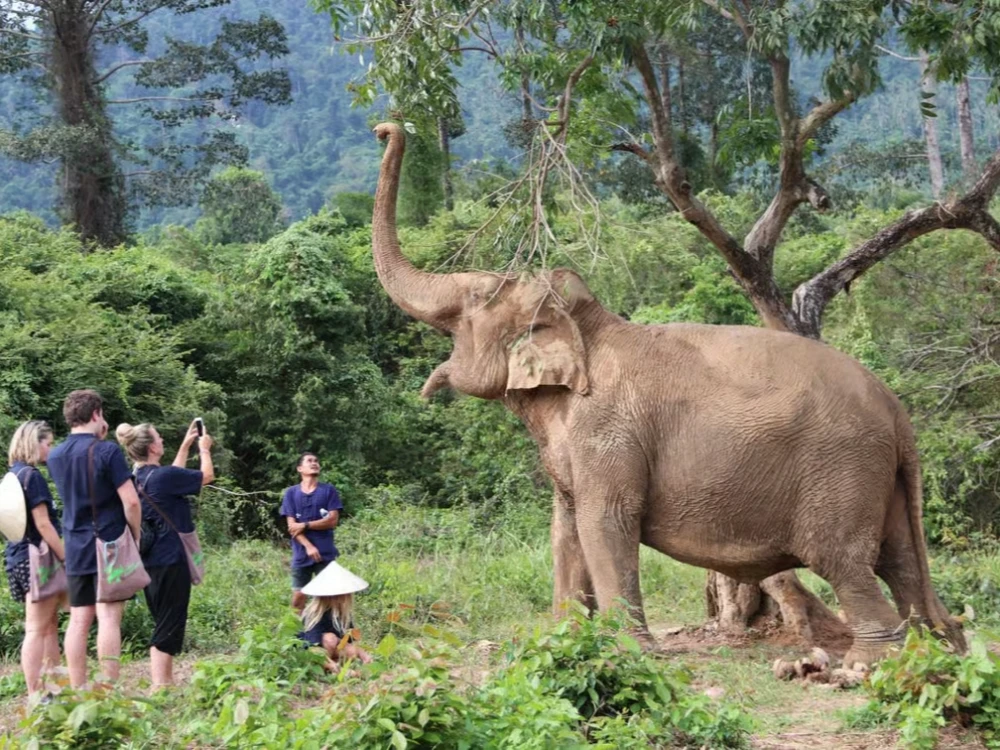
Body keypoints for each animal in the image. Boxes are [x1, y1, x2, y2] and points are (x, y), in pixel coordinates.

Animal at [369, 122, 965, 666]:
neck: (589, 327)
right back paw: (940, 648)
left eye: (472, 301)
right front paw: (561, 643)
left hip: (842, 472)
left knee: (844, 561)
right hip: (880, 478)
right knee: (899, 560)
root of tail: (897, 412)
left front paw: (628, 651)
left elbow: (606, 522)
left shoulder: (606, 433)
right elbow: (565, 528)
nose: (385, 127)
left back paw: (864, 665)